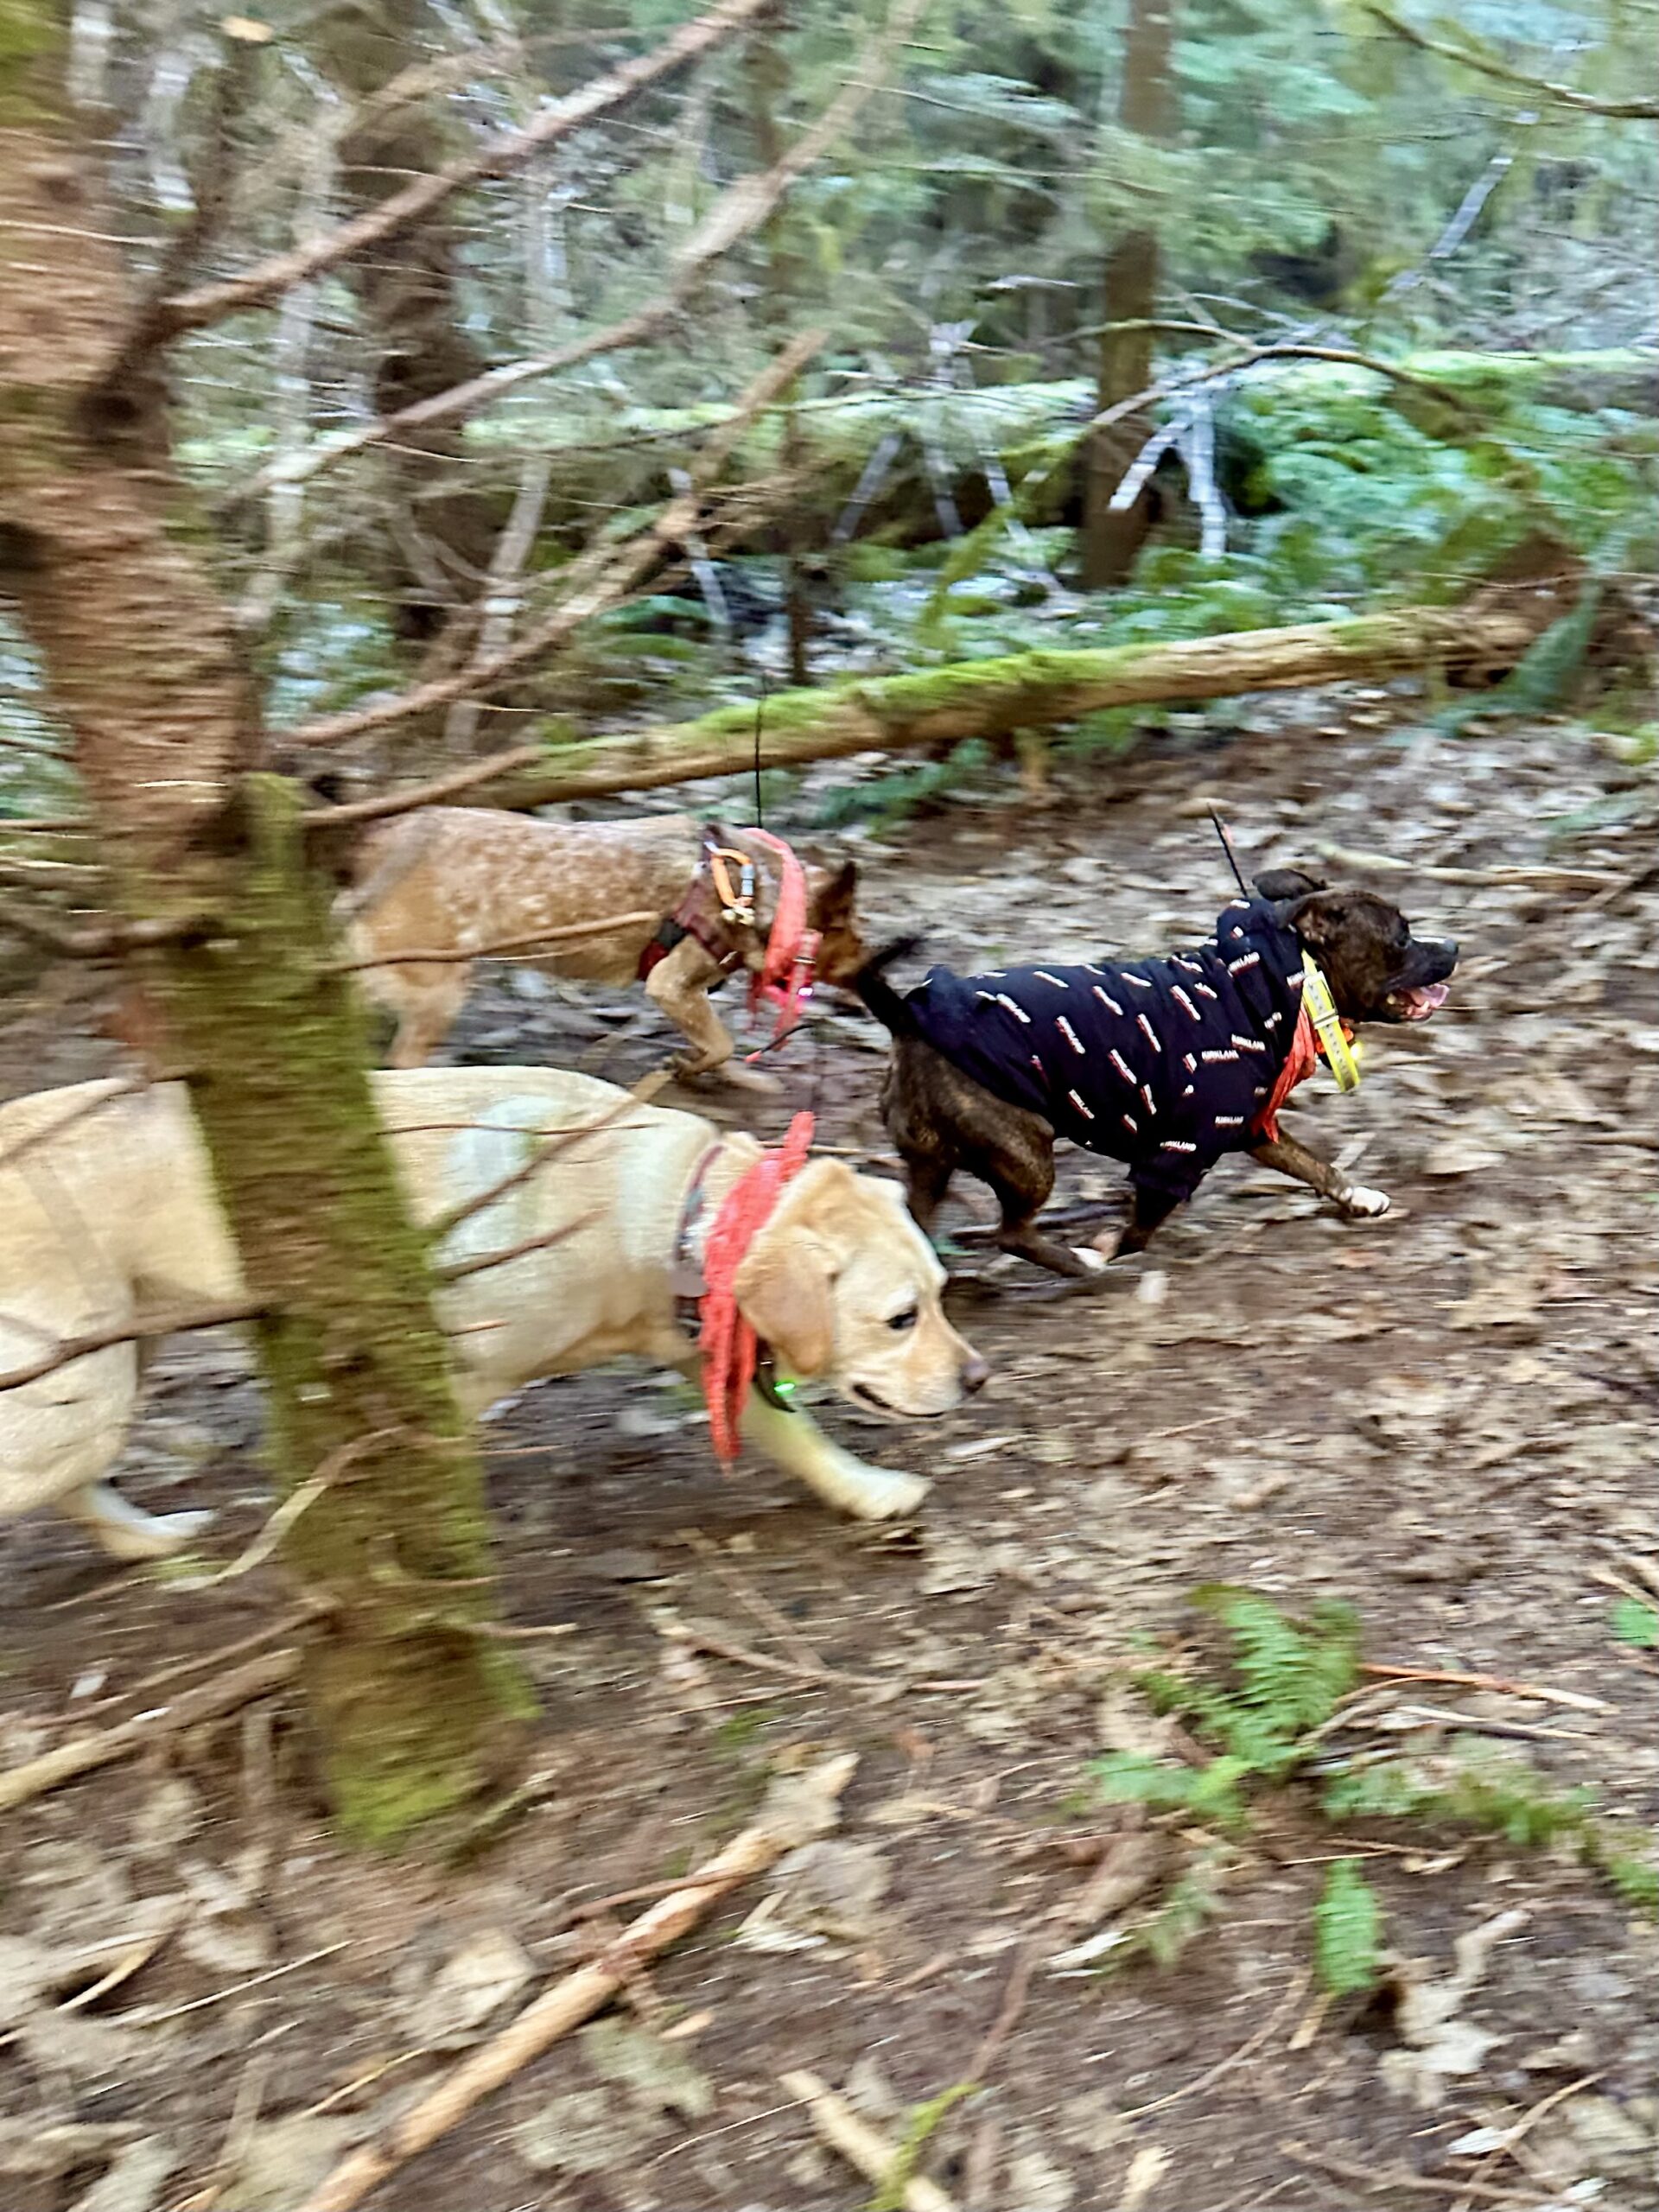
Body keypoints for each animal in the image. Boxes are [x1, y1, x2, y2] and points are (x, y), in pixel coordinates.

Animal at [334, 814, 862, 1088]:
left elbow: (717, 1047)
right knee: (404, 1061)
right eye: (851, 935)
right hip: (440, 989)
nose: (871, 967)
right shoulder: (671, 986)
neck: (755, 889)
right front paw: (692, 1067)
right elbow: (721, 1044)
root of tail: (381, 845)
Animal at [862, 867, 1459, 1282]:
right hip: (1026, 1154)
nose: (1453, 944)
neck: (1282, 982)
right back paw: (1078, 1262)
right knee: (1012, 1232)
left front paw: (1358, 1197)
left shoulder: (1254, 1128)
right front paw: (1108, 1244)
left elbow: (1315, 1164)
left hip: (932, 1163)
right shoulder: (1180, 1152)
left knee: (920, 1223)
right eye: (1402, 938)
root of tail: (907, 1019)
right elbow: (1142, 1228)